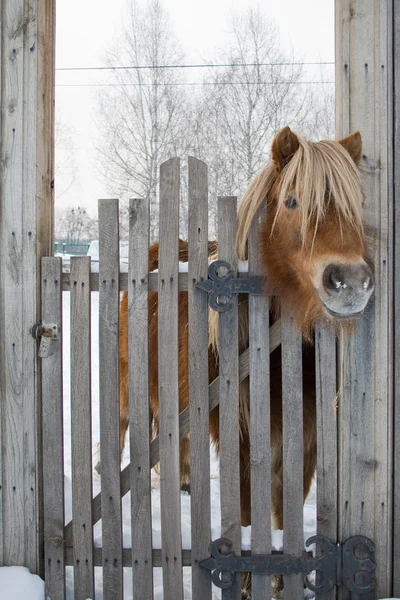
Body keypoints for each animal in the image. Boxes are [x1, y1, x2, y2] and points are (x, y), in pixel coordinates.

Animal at [117, 125, 374, 596]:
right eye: (291, 201)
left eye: (359, 202)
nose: (349, 282)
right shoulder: (241, 440)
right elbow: (250, 522)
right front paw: (249, 584)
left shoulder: (304, 442)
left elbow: (283, 521)